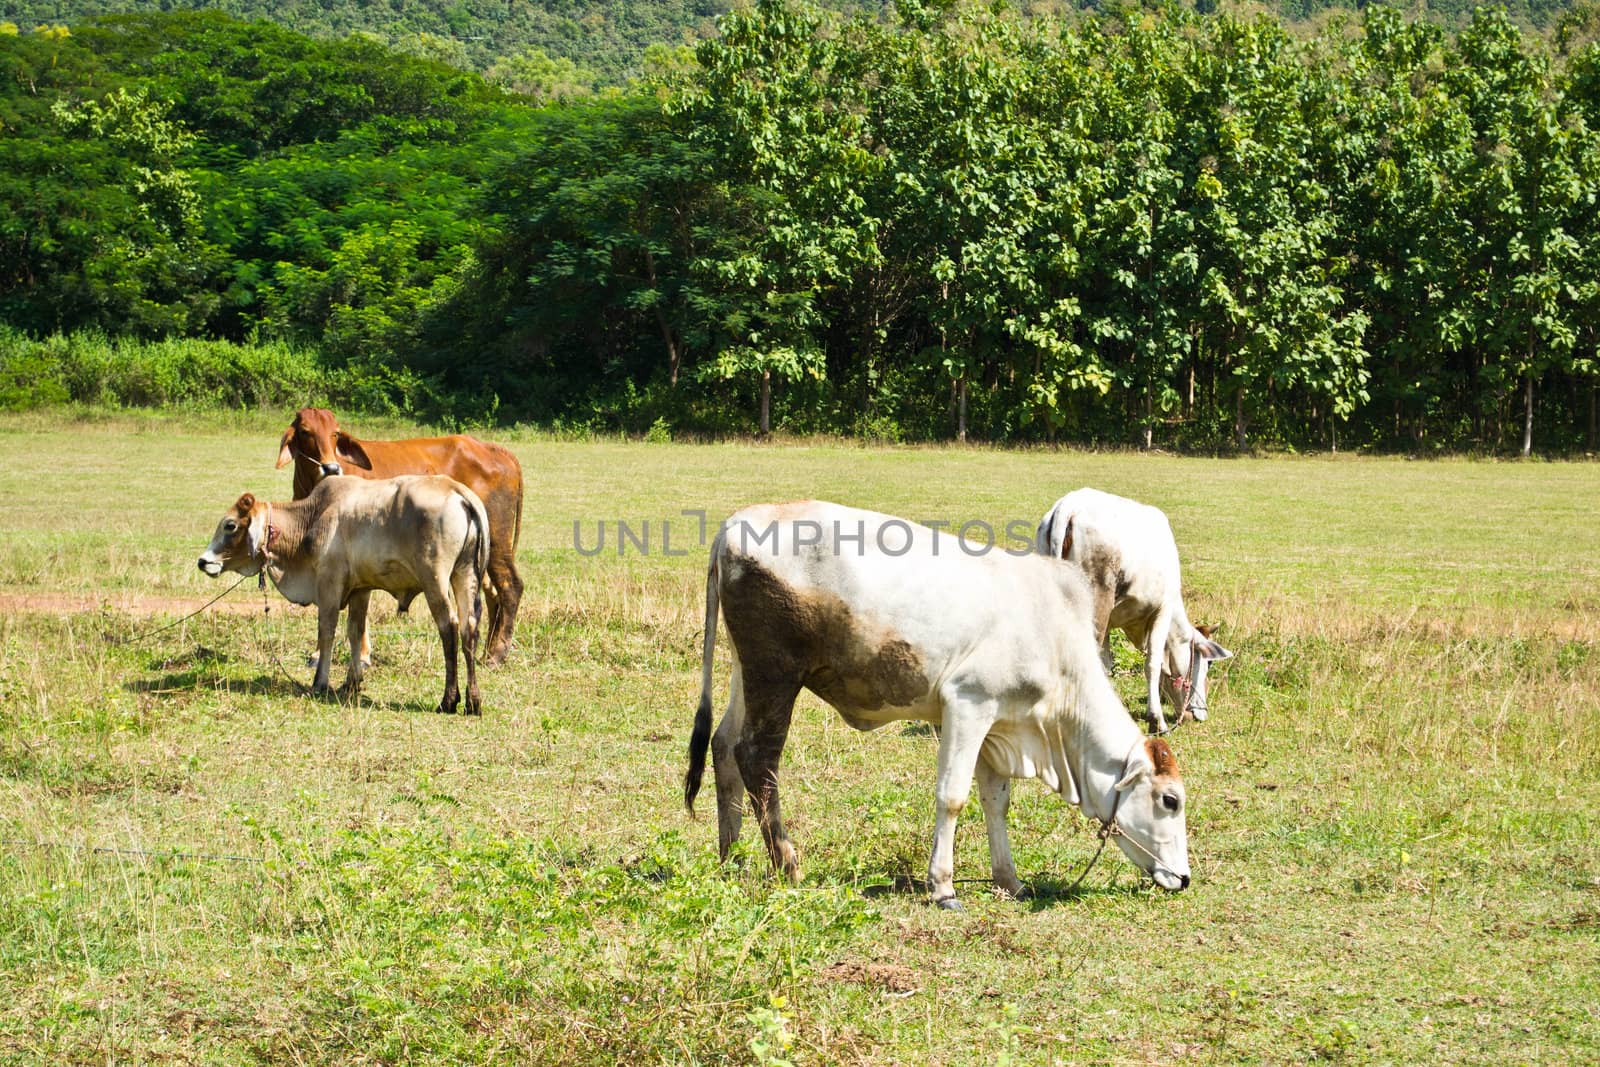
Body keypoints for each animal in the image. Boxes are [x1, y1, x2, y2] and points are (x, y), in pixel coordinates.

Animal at [198, 476, 486, 716]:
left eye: (230, 525)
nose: (203, 561)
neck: (311, 519)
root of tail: (455, 489)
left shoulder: (329, 583)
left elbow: (327, 631)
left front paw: (320, 682)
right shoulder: (361, 589)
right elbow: (355, 632)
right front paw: (352, 682)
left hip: (434, 580)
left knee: (449, 628)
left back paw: (448, 701)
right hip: (464, 574)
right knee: (469, 629)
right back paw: (473, 702)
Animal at [276, 412, 524, 668]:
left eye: (335, 432)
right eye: (305, 431)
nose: (331, 467)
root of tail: (494, 450)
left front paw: (362, 655)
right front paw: (319, 654)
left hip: (496, 542)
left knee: (511, 587)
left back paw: (497, 654)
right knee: (492, 593)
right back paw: (487, 651)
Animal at [681, 502, 1196, 908]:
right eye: (1169, 800)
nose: (1184, 877)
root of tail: (733, 525)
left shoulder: (997, 724)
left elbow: (996, 802)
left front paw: (1009, 879)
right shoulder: (968, 705)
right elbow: (953, 797)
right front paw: (944, 887)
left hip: (746, 671)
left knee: (723, 746)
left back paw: (731, 857)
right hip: (777, 675)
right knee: (756, 757)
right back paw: (786, 863)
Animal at [1036, 489, 1235, 735]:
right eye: (1207, 664)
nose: (1199, 714)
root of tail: (1068, 506)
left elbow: (1107, 665)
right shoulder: (1162, 611)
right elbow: (1152, 665)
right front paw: (1156, 720)